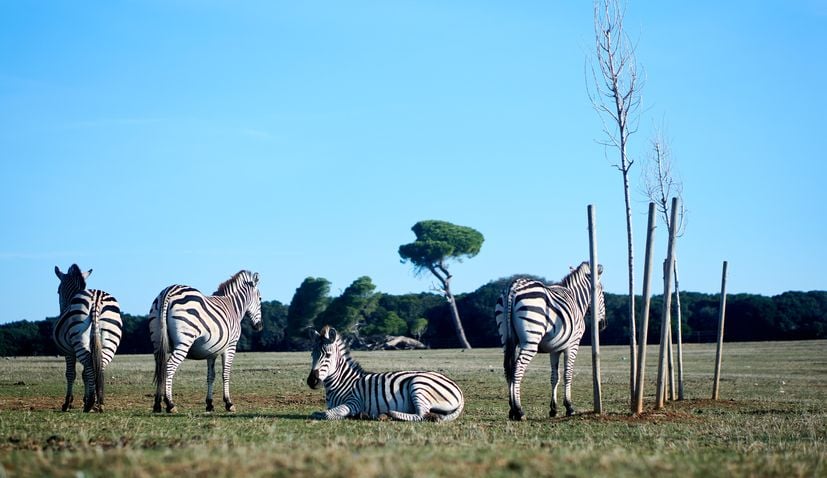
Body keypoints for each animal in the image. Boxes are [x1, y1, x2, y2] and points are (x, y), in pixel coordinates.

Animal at [53, 264, 123, 412]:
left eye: (58, 291)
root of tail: (96, 299)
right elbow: (85, 374)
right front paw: (85, 399)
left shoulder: (68, 351)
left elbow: (71, 373)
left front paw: (67, 403)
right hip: (110, 339)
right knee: (100, 365)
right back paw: (98, 403)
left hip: (79, 339)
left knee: (90, 365)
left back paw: (91, 403)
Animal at [150, 270, 262, 412]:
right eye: (260, 299)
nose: (259, 326)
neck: (233, 306)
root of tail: (169, 291)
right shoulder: (231, 346)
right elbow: (226, 373)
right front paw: (229, 403)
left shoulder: (211, 350)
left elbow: (211, 376)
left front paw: (209, 404)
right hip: (184, 341)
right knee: (169, 367)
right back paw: (170, 404)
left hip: (157, 343)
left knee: (160, 368)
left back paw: (157, 404)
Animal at [306, 324, 466, 422]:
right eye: (312, 355)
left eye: (328, 355)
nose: (311, 381)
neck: (342, 382)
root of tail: (457, 388)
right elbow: (323, 412)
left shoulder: (354, 402)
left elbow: (324, 414)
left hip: (419, 385)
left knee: (422, 414)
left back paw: (388, 414)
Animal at [494, 262, 604, 422]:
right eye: (602, 292)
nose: (602, 325)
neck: (576, 299)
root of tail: (514, 287)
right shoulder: (572, 345)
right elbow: (567, 374)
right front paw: (569, 407)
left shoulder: (555, 349)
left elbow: (554, 377)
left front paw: (554, 409)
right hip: (530, 340)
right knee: (517, 369)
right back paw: (519, 410)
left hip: (507, 340)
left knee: (508, 369)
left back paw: (512, 410)